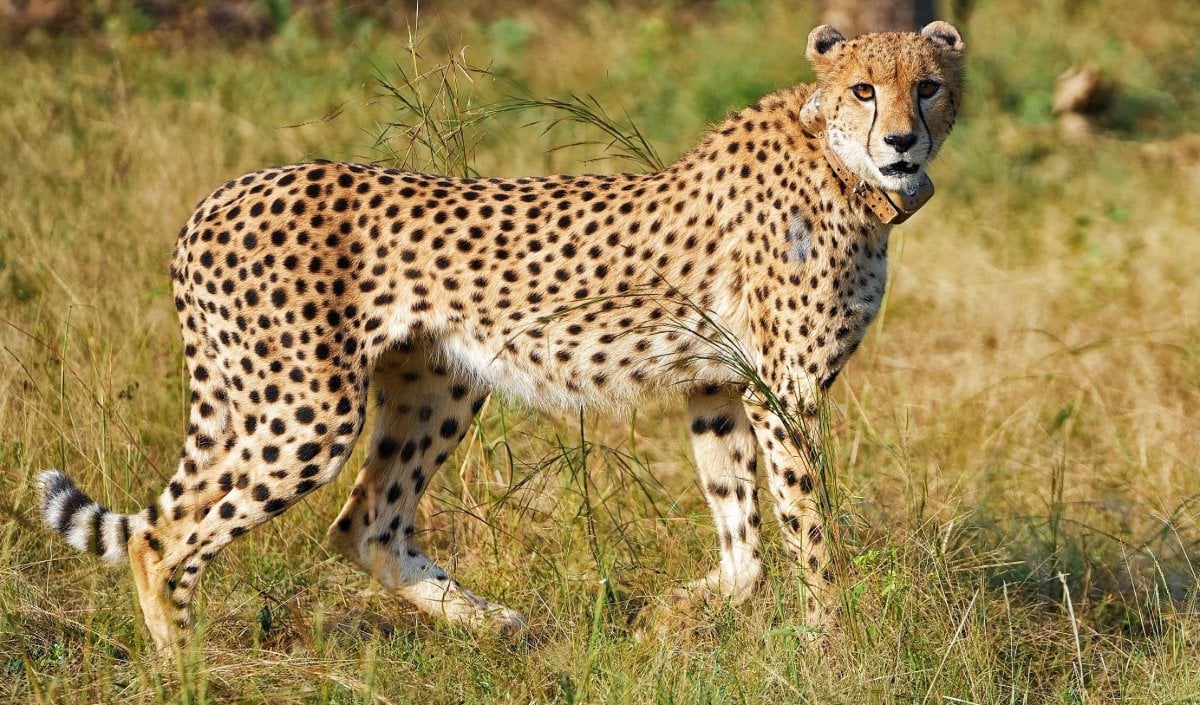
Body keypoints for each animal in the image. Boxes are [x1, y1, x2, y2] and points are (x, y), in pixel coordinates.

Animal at [38, 21, 964, 652]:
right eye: (864, 90)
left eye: (927, 86)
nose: (902, 139)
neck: (842, 168)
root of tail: (220, 195)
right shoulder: (784, 392)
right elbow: (810, 531)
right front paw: (832, 646)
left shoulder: (718, 384)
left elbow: (745, 544)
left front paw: (673, 613)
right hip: (307, 410)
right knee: (165, 537)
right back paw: (184, 664)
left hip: (437, 383)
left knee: (364, 522)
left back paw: (493, 621)